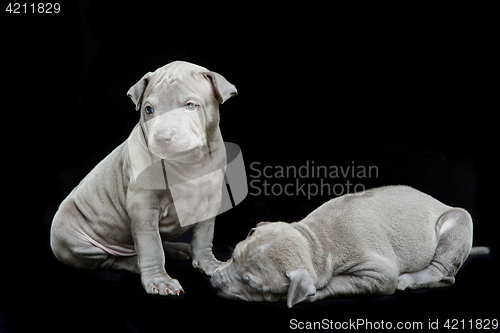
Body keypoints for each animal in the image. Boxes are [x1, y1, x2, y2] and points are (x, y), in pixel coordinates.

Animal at [210, 184, 488, 306]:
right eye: (233, 256)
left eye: (249, 283)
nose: (214, 282)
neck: (315, 241)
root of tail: (441, 203)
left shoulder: (377, 272)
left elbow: (341, 282)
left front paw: (315, 292)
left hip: (457, 223)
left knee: (442, 272)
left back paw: (410, 279)